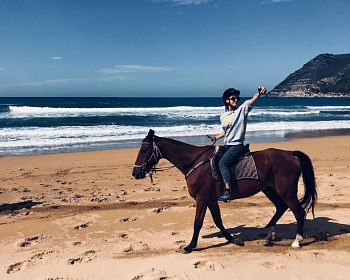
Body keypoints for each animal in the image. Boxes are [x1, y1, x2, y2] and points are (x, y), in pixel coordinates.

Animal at [131, 129, 318, 254]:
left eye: (144, 150)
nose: (135, 173)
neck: (195, 162)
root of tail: (290, 154)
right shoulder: (211, 199)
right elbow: (218, 221)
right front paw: (234, 239)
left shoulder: (202, 198)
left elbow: (197, 223)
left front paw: (190, 246)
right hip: (270, 189)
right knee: (281, 207)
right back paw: (269, 234)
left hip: (286, 191)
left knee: (298, 212)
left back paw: (297, 241)